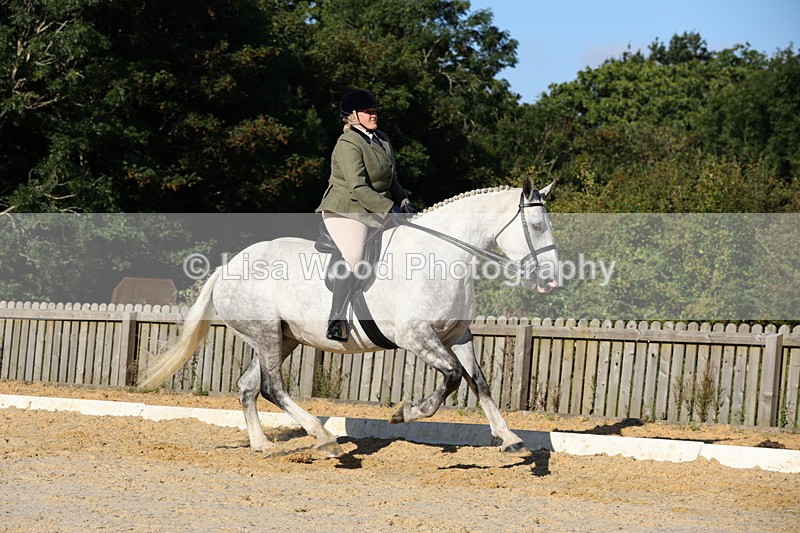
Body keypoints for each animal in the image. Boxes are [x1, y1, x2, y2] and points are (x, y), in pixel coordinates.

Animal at [139, 177, 559, 458]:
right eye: (538, 226)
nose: (551, 280)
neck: (441, 257)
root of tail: (229, 265)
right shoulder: (415, 336)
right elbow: (453, 376)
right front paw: (406, 412)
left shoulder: (458, 335)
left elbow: (480, 383)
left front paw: (510, 439)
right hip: (266, 334)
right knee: (273, 388)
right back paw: (324, 439)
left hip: (280, 338)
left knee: (248, 386)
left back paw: (263, 445)